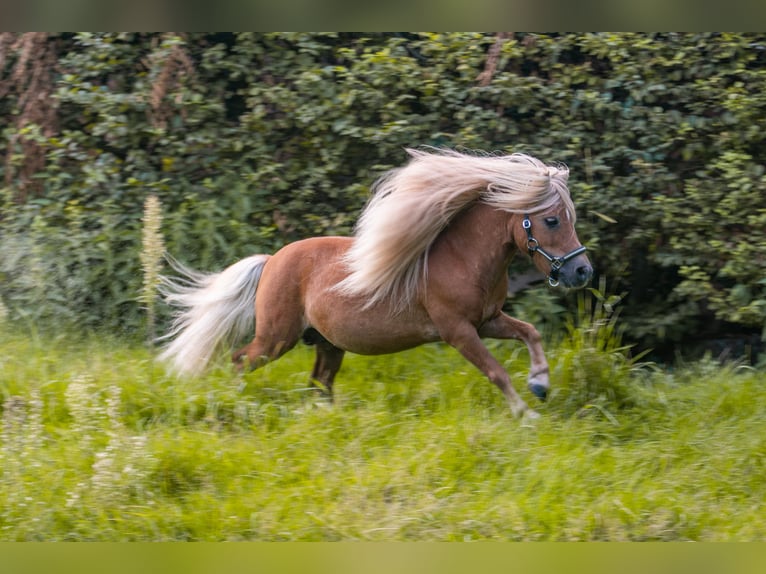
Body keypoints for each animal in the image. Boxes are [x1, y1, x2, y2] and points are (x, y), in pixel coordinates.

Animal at [160, 148, 592, 418]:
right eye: (552, 220)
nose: (582, 271)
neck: (462, 259)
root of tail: (271, 262)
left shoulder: (488, 320)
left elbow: (530, 331)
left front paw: (540, 384)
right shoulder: (458, 331)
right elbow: (496, 371)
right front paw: (525, 412)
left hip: (327, 344)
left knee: (319, 383)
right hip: (275, 339)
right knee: (240, 361)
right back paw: (234, 403)